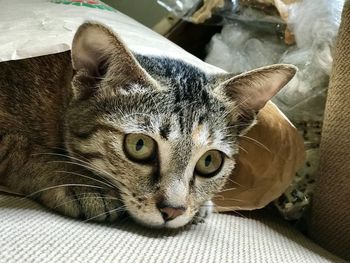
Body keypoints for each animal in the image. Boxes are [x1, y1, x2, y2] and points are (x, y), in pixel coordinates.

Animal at [0, 22, 296, 229]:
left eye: (210, 161)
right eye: (139, 145)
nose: (174, 210)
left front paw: (201, 205)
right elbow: (18, 146)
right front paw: (79, 180)